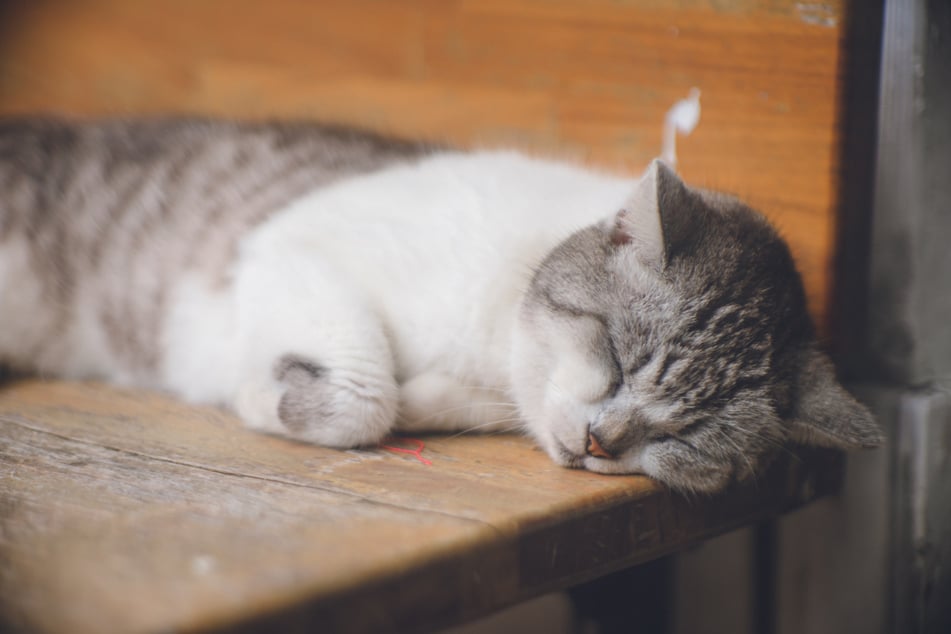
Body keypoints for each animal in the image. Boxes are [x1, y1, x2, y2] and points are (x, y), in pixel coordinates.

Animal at [0, 116, 884, 492]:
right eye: (616, 359)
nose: (598, 444)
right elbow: (363, 398)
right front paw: (261, 395)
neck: (490, 344)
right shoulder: (291, 242)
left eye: (685, 439)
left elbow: (398, 401)